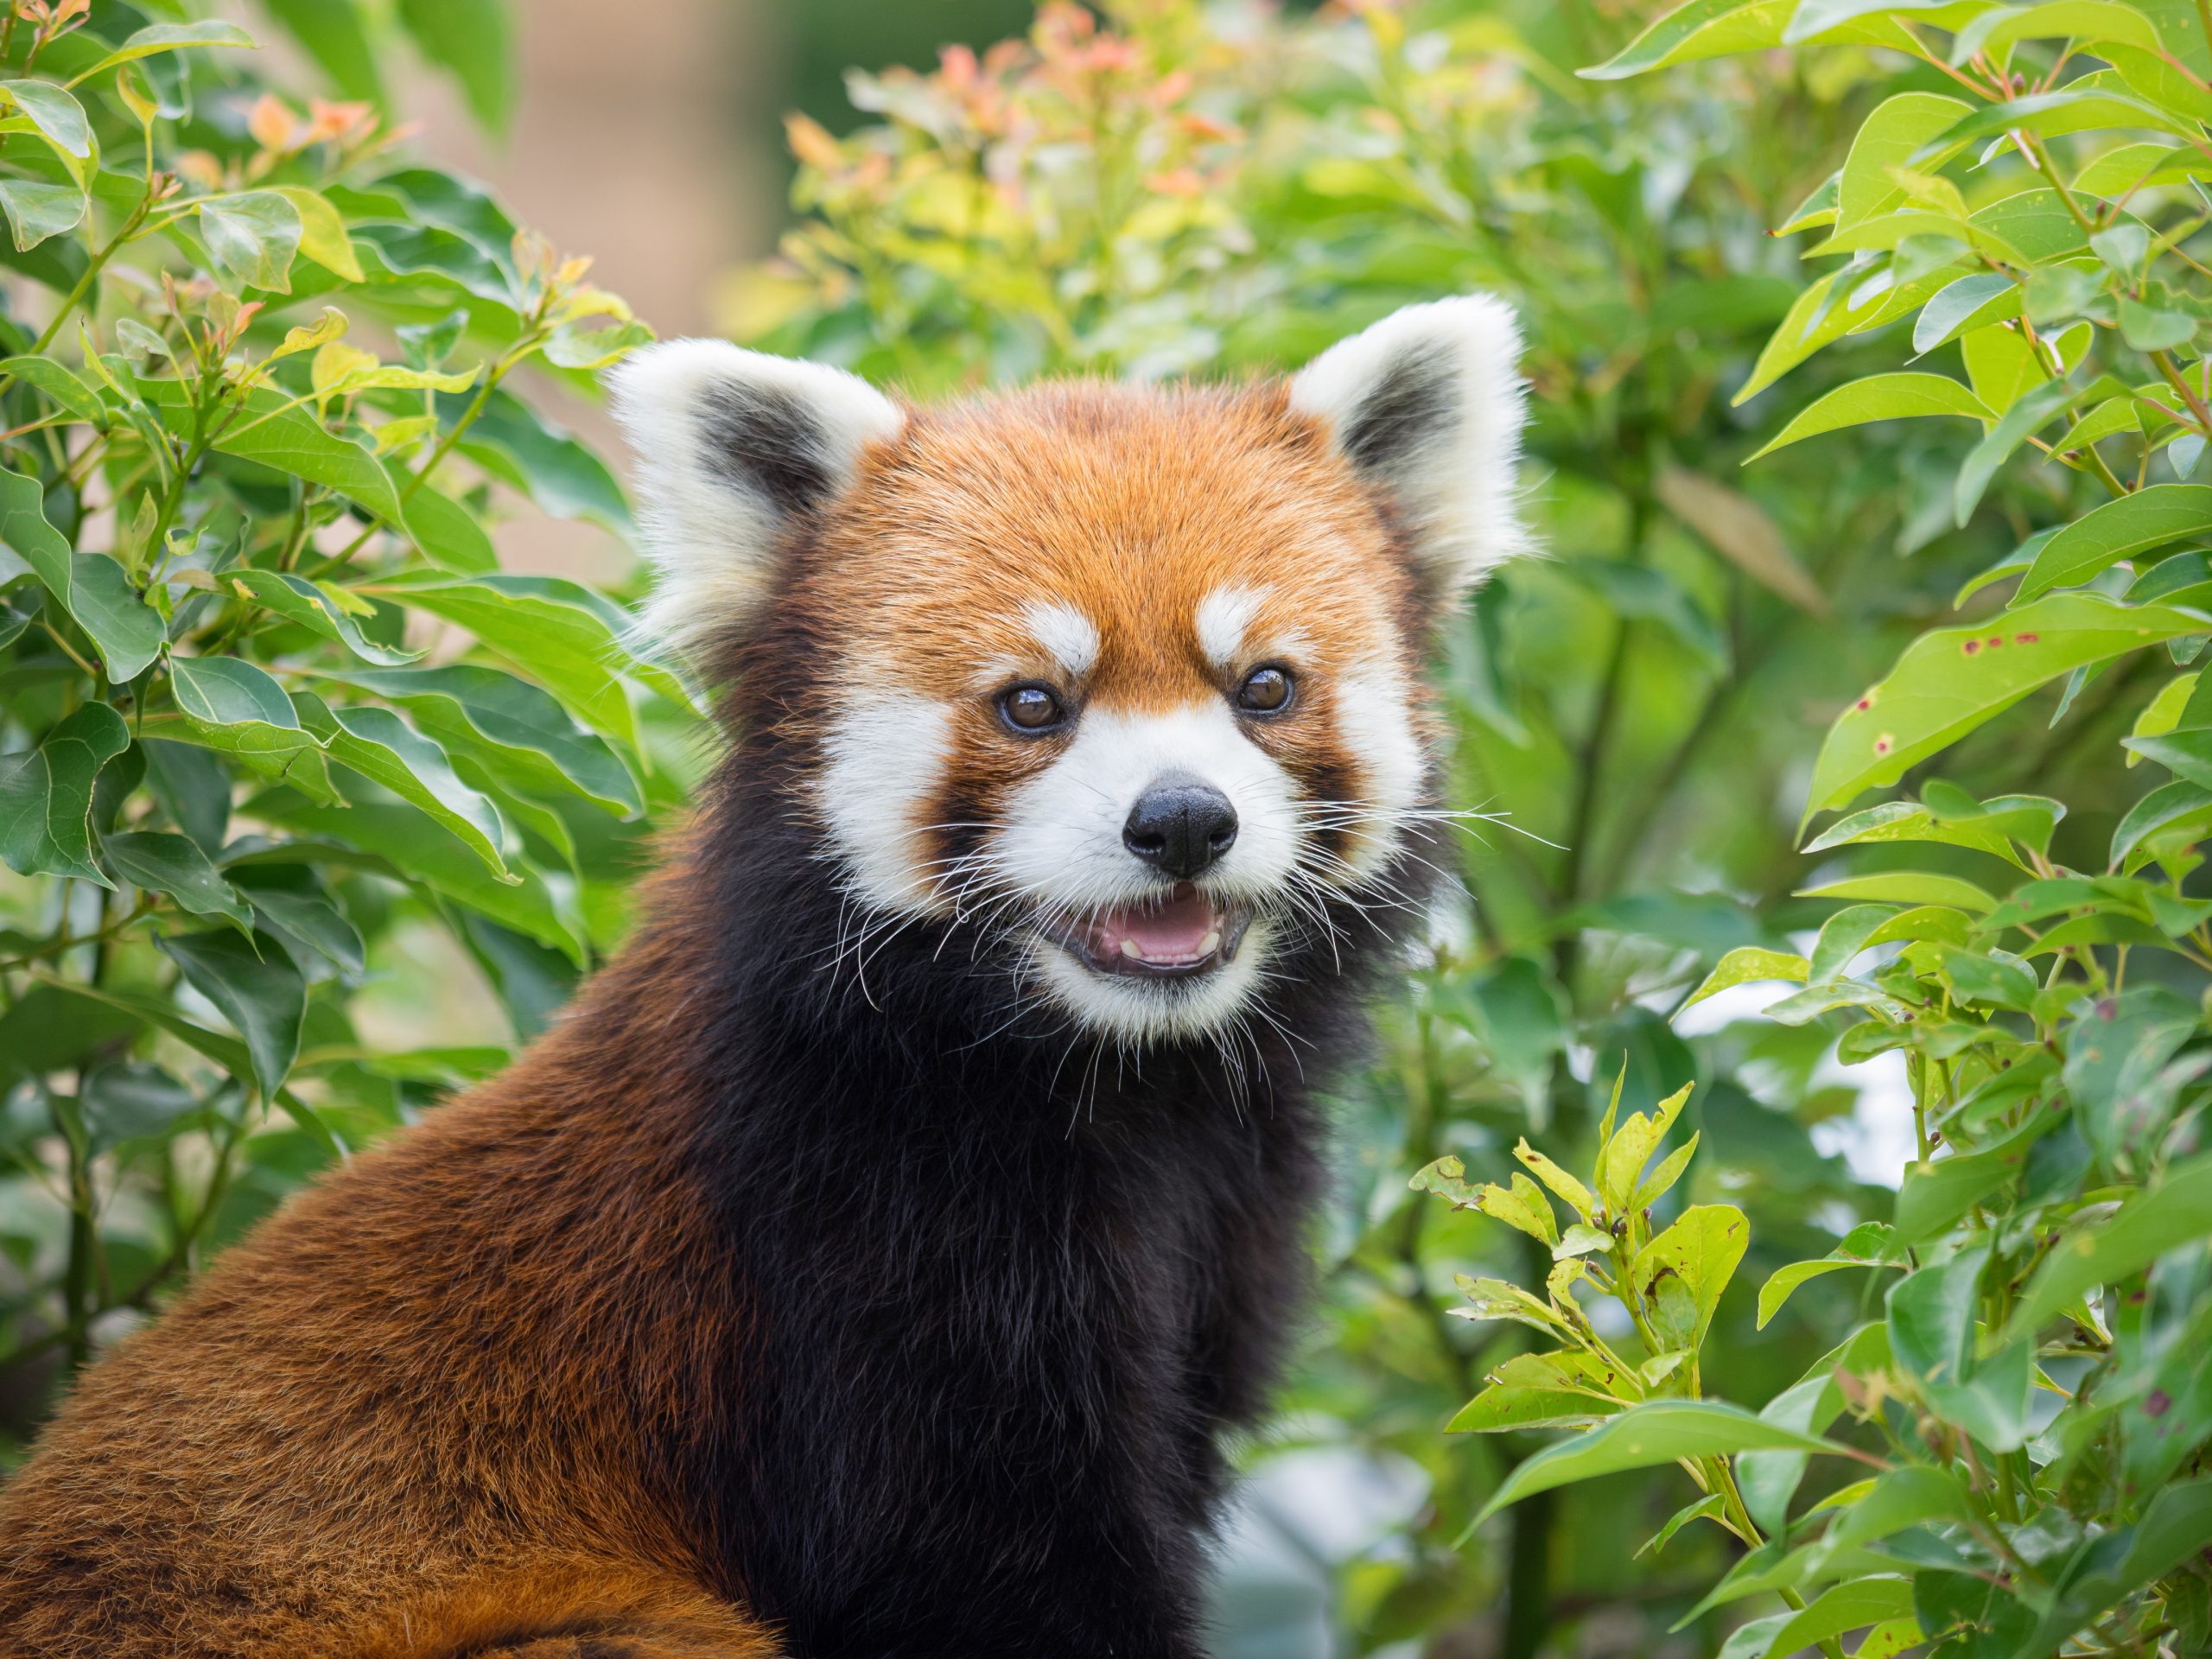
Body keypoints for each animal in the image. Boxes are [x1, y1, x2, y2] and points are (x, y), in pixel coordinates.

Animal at [0, 298, 1522, 1659]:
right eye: (1033, 704)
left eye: (1264, 687)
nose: (1185, 821)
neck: (1113, 1087)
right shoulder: (853, 1245)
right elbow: (985, 1584)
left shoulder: (1213, 1239)